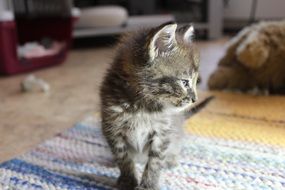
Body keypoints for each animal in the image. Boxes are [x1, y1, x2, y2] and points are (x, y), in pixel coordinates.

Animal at [101, 22, 199, 190]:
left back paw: (171, 159)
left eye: (195, 81)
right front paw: (128, 181)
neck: (143, 106)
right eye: (185, 82)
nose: (194, 99)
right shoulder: (113, 127)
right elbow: (122, 156)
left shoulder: (163, 132)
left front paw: (148, 185)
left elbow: (155, 161)